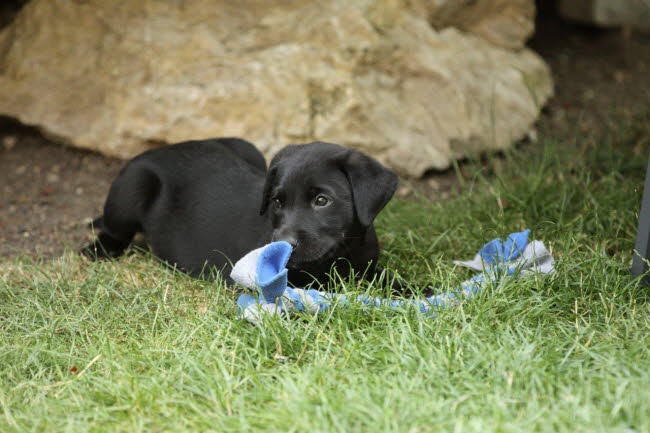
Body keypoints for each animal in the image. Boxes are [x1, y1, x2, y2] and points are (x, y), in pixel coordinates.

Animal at [81, 137, 394, 288]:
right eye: (277, 201)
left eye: (322, 200)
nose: (283, 243)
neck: (341, 254)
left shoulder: (367, 267)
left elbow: (386, 279)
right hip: (134, 182)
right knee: (113, 231)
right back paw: (98, 249)